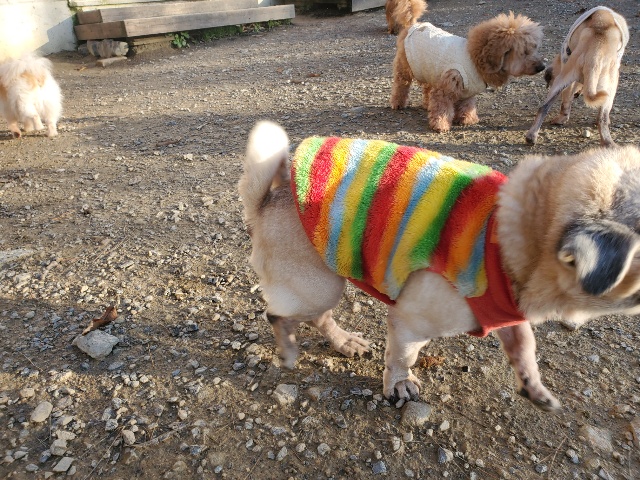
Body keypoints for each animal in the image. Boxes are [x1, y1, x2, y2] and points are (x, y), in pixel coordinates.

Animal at [240, 120, 640, 411]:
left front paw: (533, 385)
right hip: (320, 286)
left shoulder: (509, 315)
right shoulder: (411, 322)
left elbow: (524, 346)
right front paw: (399, 385)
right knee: (280, 314)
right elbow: (403, 355)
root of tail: (265, 201)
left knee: (315, 318)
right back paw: (288, 349)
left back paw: (344, 342)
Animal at [389, 2, 545, 133]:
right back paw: (398, 103)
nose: (542, 67)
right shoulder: (447, 85)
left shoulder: (468, 91)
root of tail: (413, 25)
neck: (475, 58)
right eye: (524, 52)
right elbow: (442, 107)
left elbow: (467, 106)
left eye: (534, 48)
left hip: (430, 70)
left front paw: (468, 119)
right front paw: (441, 124)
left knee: (427, 88)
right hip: (405, 68)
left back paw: (427, 104)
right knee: (401, 85)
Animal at [526, 6, 629, 147]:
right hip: (610, 85)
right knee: (600, 117)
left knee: (544, 108)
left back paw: (532, 136)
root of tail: (595, 52)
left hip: (565, 82)